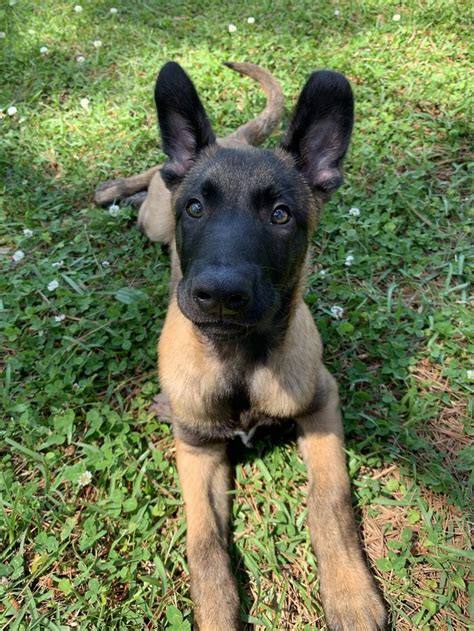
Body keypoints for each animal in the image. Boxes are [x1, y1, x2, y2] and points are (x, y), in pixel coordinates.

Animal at [95, 64, 386, 631]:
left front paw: (349, 592)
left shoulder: (322, 402)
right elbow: (205, 544)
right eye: (195, 208)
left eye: (281, 215)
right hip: (157, 222)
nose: (219, 295)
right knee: (156, 174)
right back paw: (119, 188)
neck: (240, 361)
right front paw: (217, 614)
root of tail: (231, 137)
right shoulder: (195, 448)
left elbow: (331, 500)